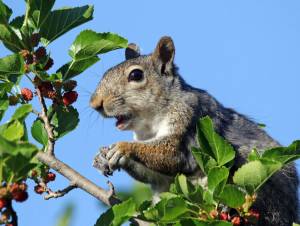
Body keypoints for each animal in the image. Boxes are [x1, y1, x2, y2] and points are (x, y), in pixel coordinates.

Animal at [90, 36, 298, 225]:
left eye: (136, 75)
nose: (95, 104)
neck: (150, 123)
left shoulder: (190, 119)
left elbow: (173, 155)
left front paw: (123, 147)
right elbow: (152, 173)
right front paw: (102, 157)